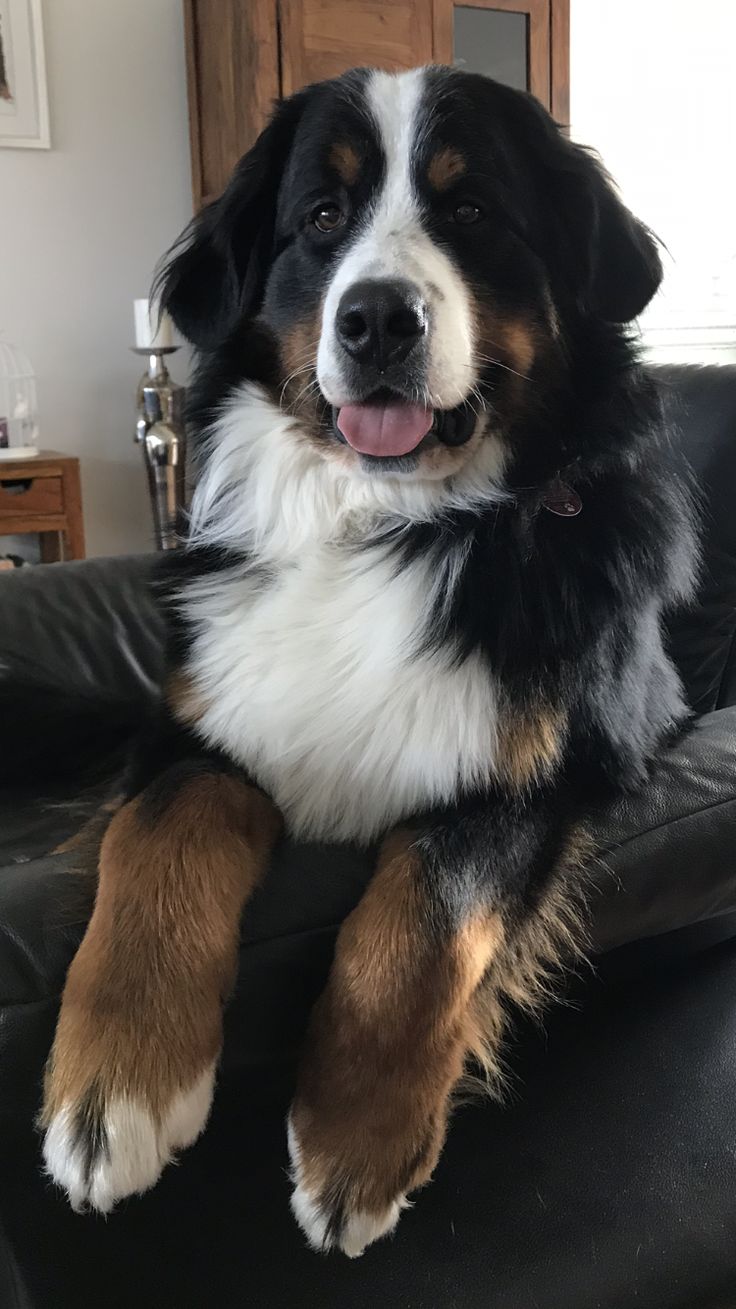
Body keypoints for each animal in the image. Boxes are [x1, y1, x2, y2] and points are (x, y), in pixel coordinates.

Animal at [38, 69, 691, 1256]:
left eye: (471, 210)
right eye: (321, 217)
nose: (379, 317)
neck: (383, 520)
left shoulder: (548, 764)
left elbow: (429, 915)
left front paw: (353, 1143)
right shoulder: (195, 728)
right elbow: (157, 839)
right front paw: (115, 1090)